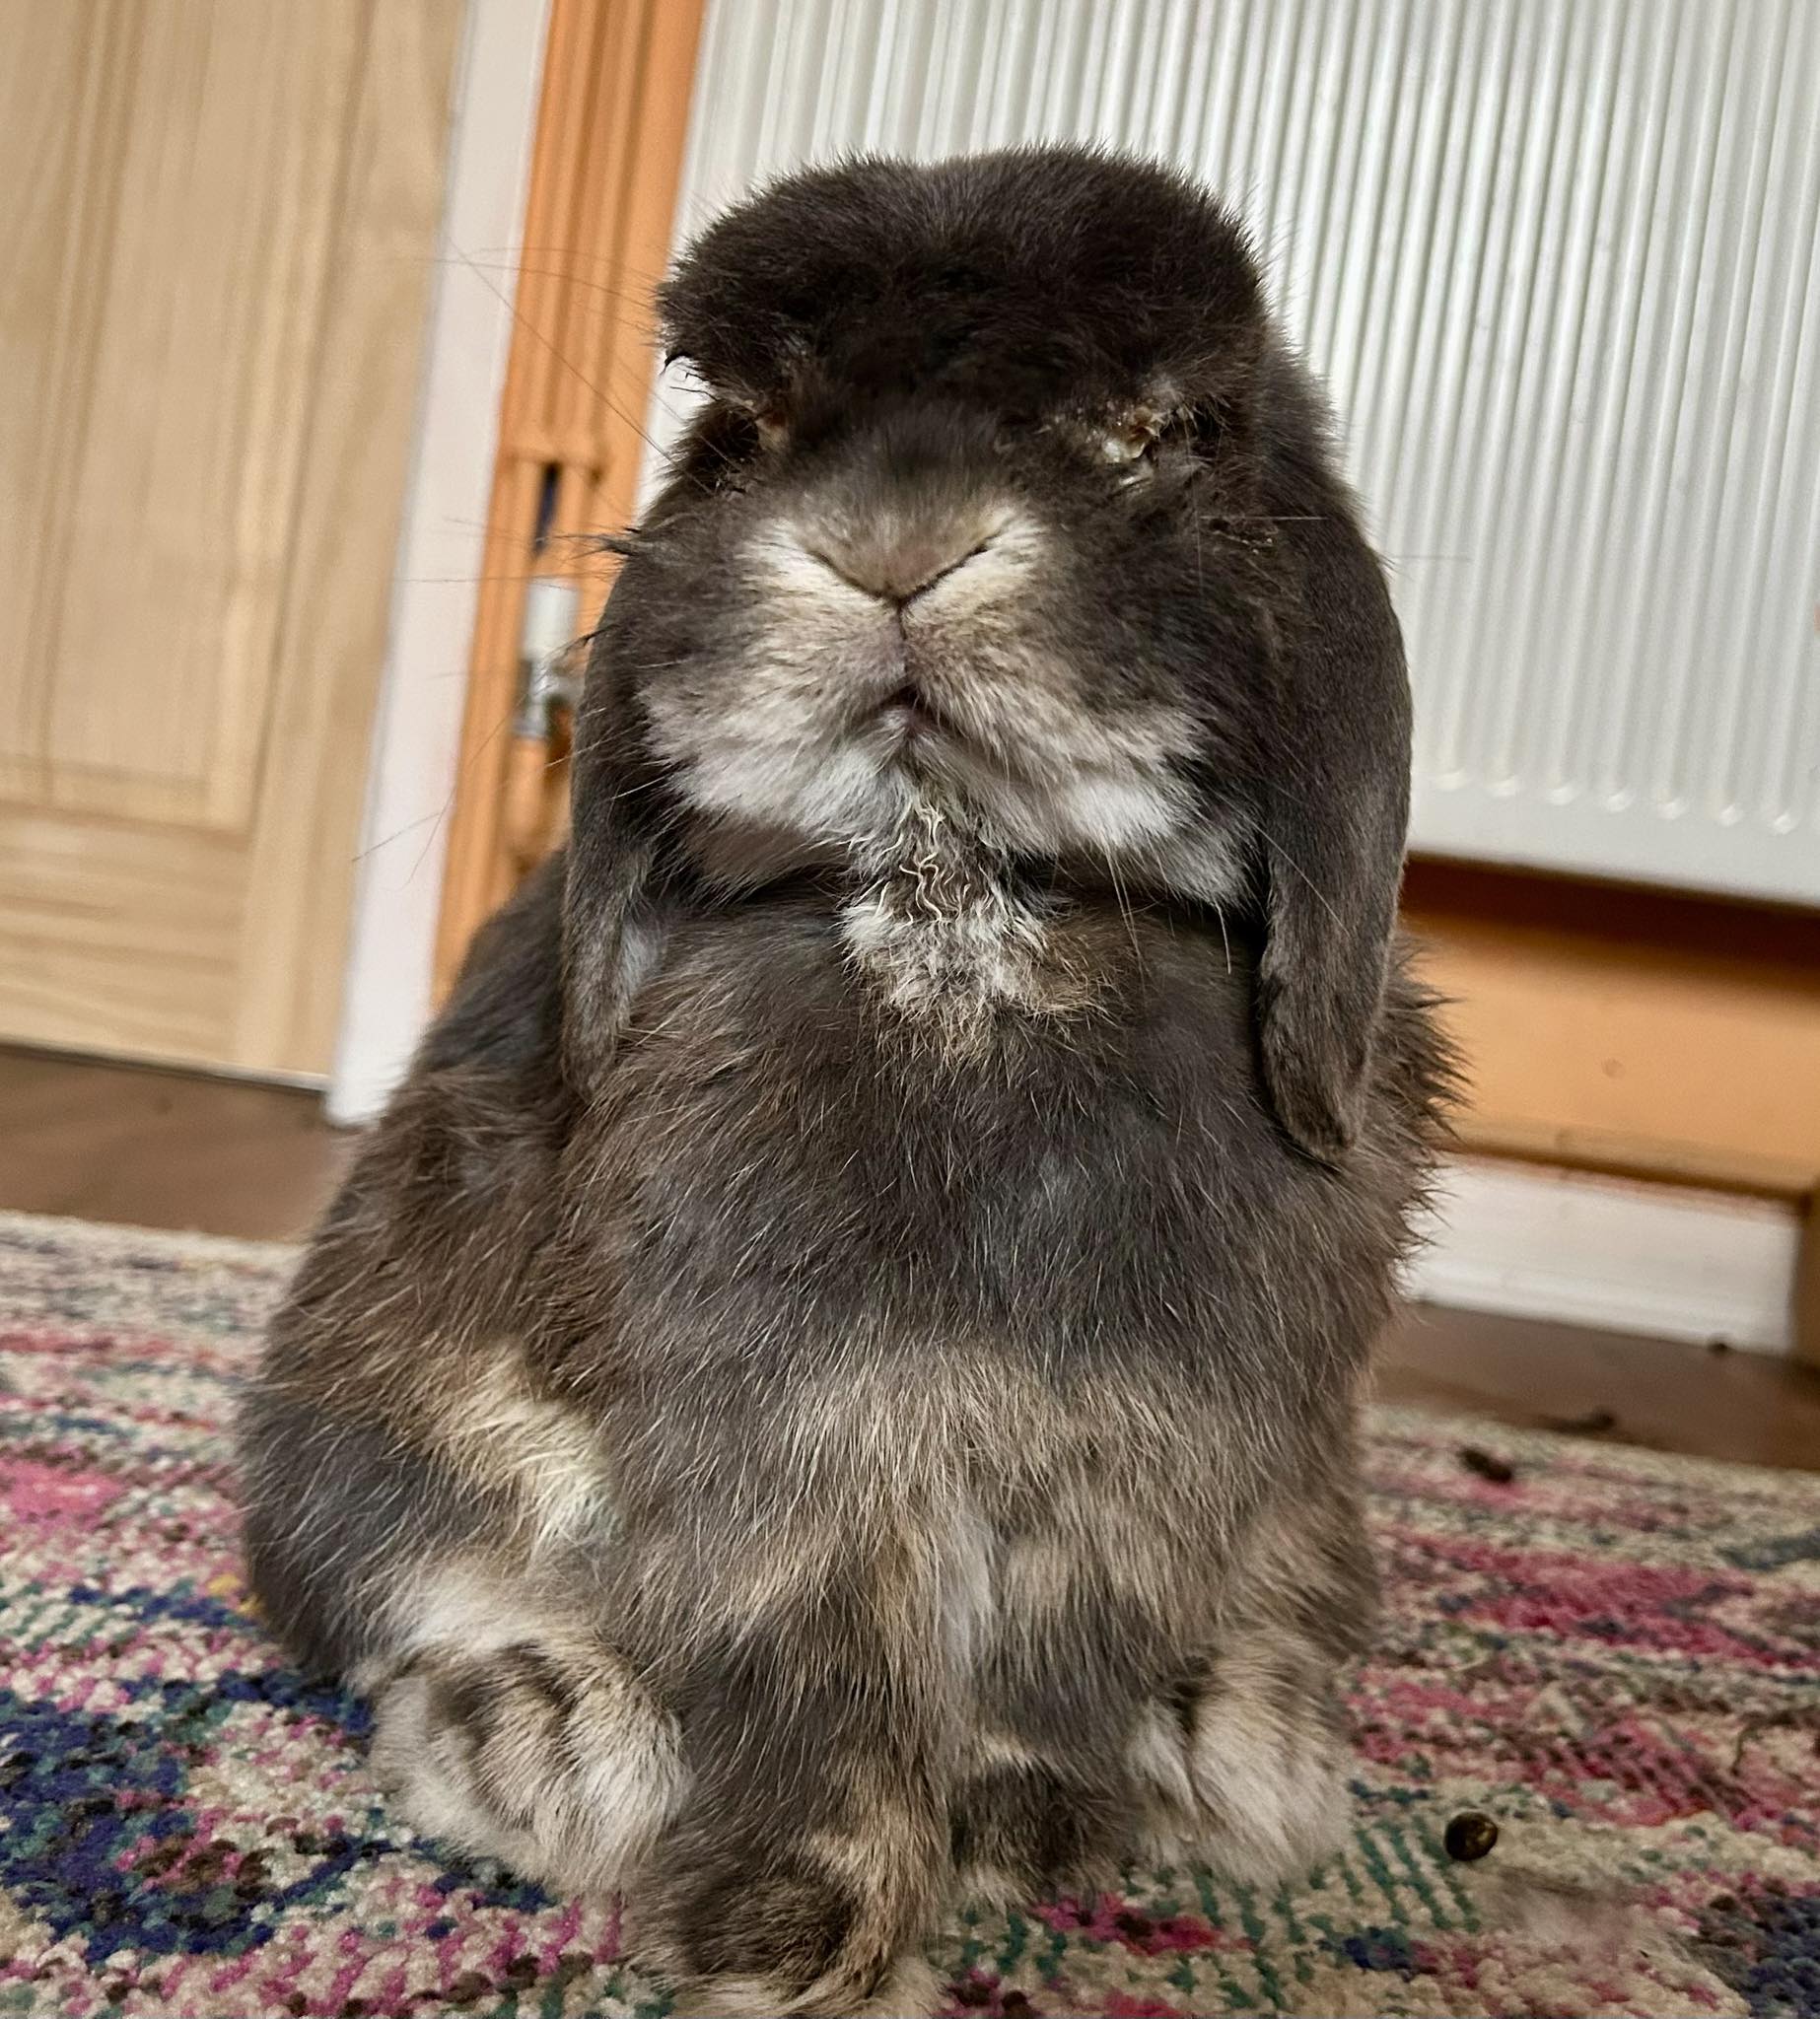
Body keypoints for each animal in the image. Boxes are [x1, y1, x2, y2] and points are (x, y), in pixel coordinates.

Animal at [240, 145, 1452, 2017]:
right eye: (743, 426)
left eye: (1161, 431)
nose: (895, 547)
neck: (946, 902)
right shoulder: (793, 1455)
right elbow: (810, 1667)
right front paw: (791, 1934)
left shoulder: (1128, 1452)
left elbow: (1051, 1647)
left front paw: (1034, 1833)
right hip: (372, 1416)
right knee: (417, 1597)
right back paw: (535, 1742)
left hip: (1310, 1514)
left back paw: (1249, 1755)